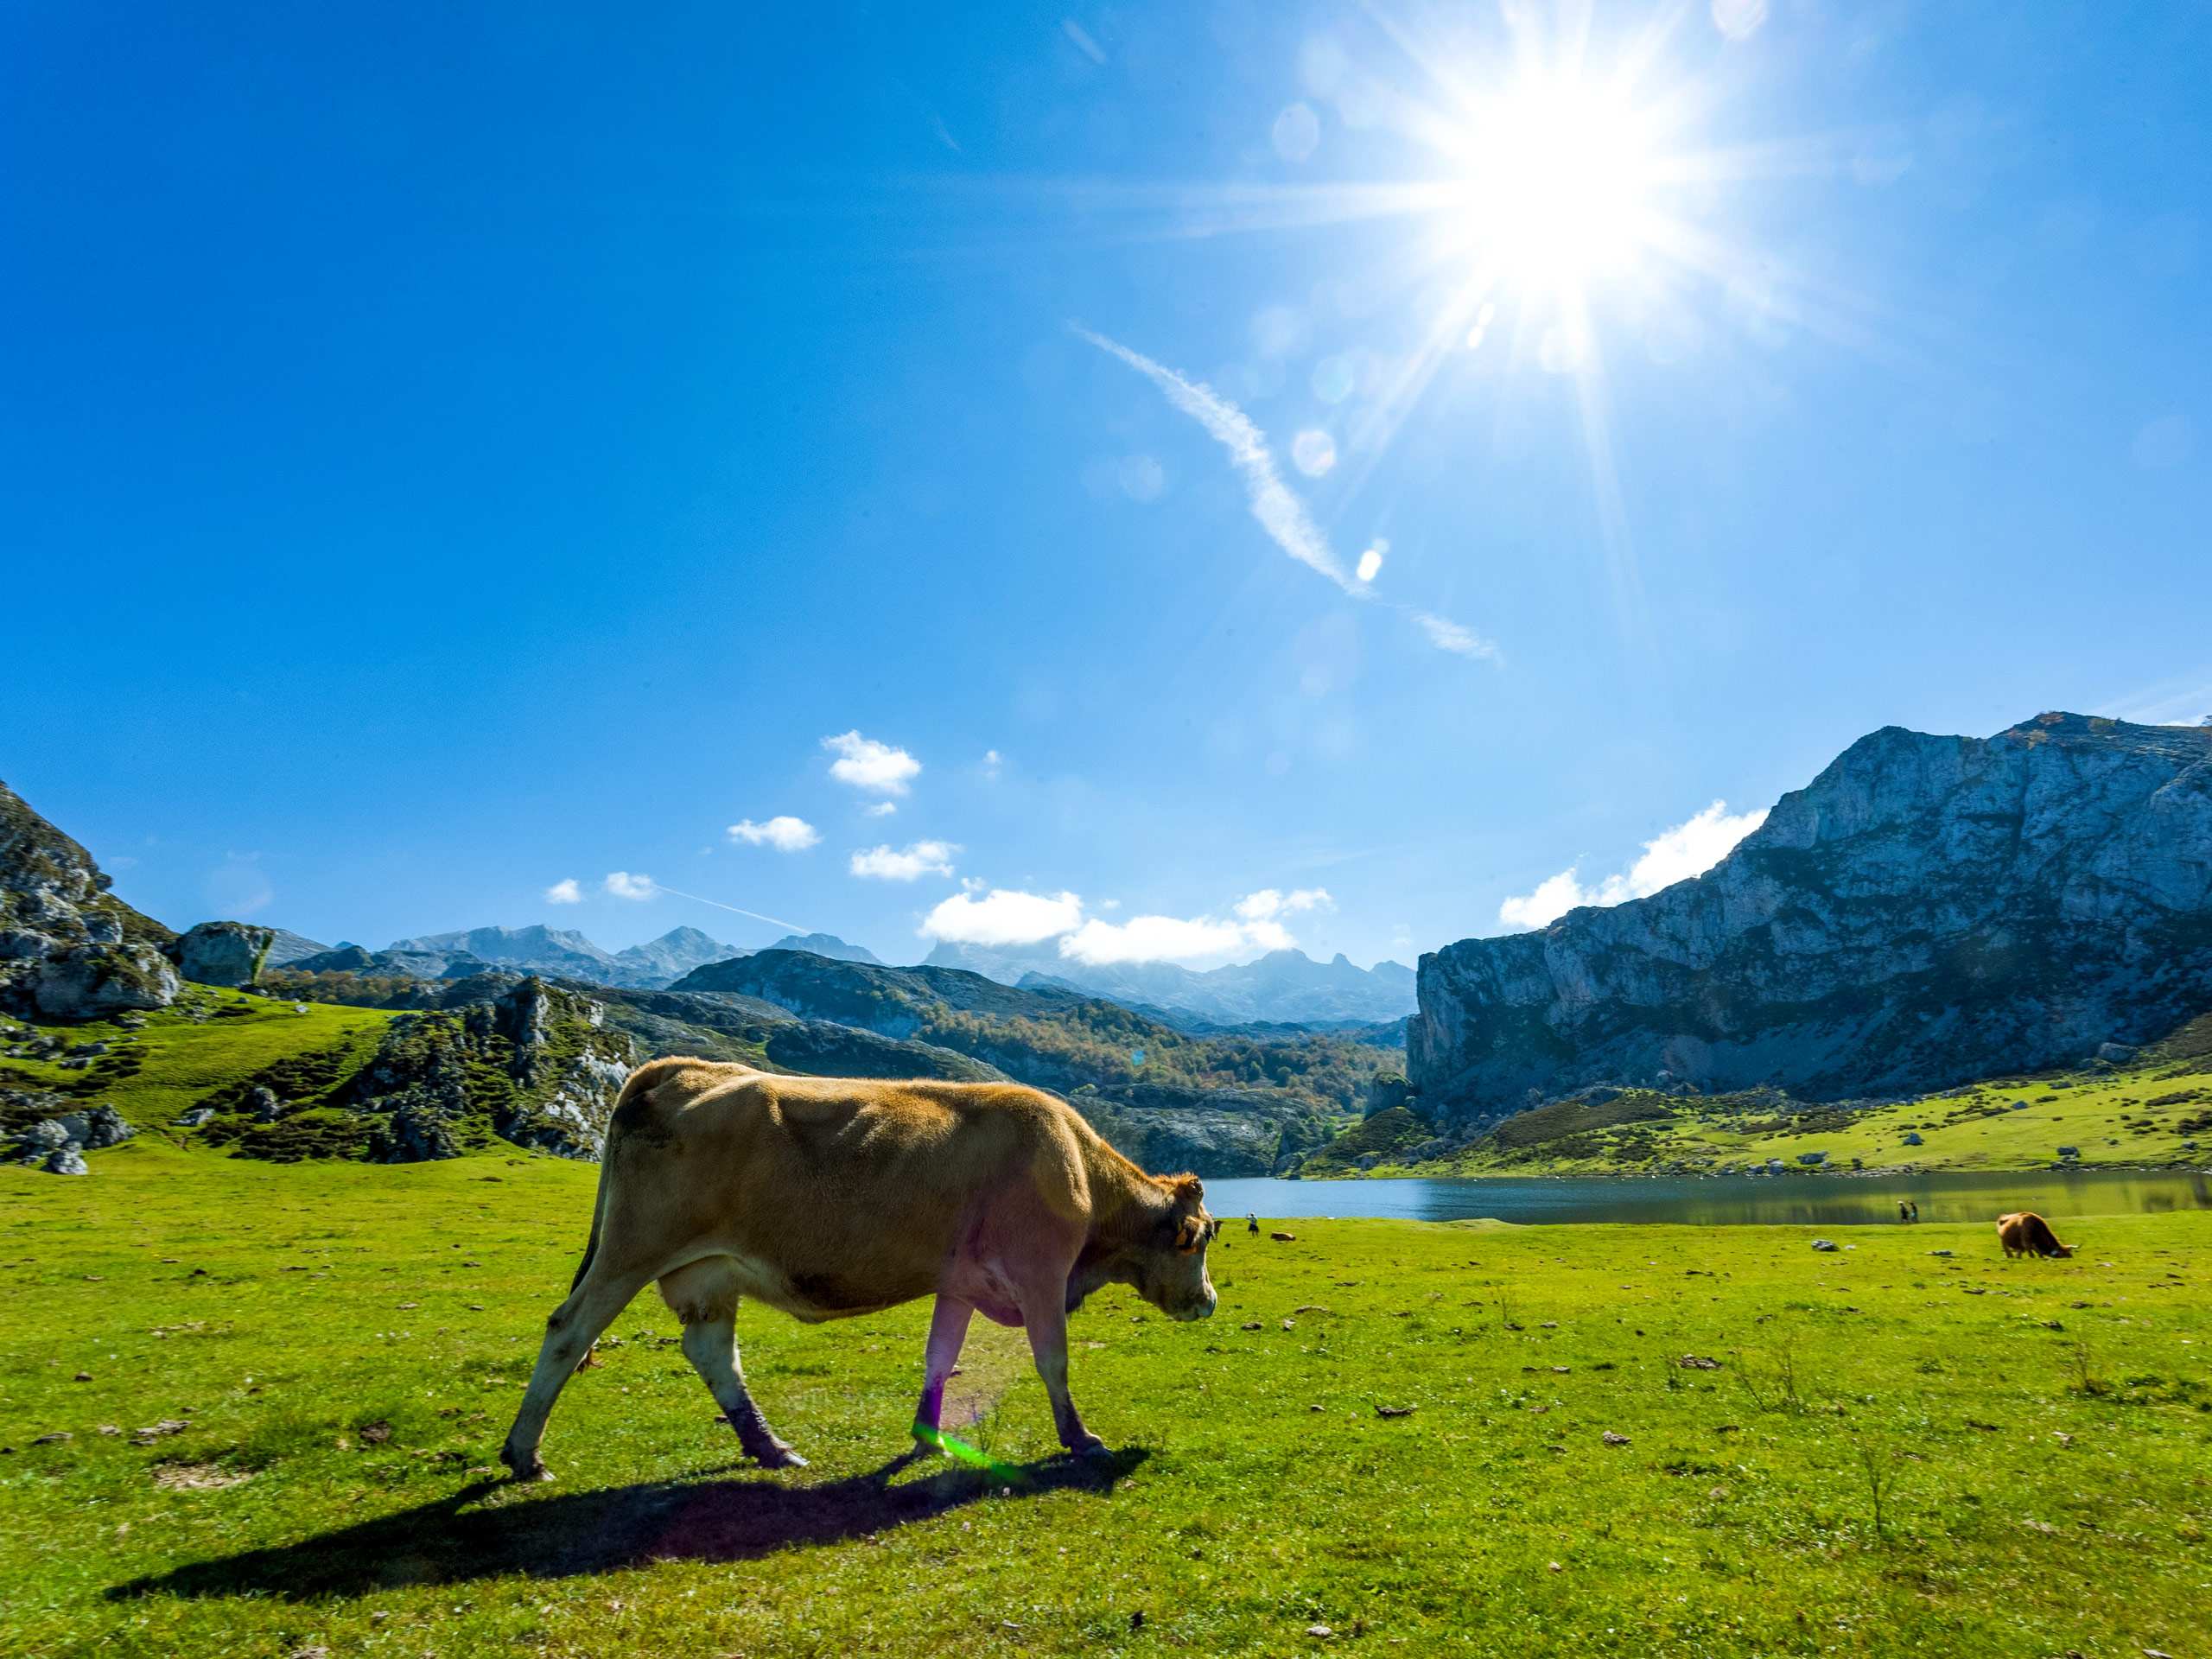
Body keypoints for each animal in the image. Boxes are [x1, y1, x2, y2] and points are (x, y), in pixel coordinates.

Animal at [498, 1057, 1230, 1486]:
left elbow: (940, 1357)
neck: (1078, 1168)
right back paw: (523, 1454)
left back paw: (770, 1446)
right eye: (1199, 1240)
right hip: (634, 1248)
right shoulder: (1040, 1274)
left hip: (710, 1273)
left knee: (712, 1352)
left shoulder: (960, 1282)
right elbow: (1053, 1360)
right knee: (568, 1331)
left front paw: (929, 1439)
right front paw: (1080, 1439)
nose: (1211, 1302)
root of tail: (684, 1068)